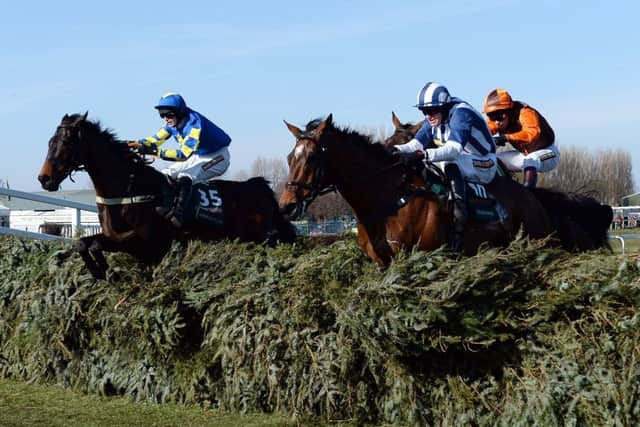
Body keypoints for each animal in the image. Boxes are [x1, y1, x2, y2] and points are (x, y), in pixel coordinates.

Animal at [40, 113, 298, 280]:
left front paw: (104, 270)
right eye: (50, 142)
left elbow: (93, 244)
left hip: (258, 238)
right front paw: (99, 271)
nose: (44, 178)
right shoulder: (119, 239)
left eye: (65, 142)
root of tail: (259, 187)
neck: (128, 189)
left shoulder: (144, 243)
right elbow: (82, 243)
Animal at [280, 115, 556, 266]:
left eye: (312, 157)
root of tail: (531, 196)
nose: (287, 205)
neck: (388, 197)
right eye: (289, 157)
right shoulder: (381, 263)